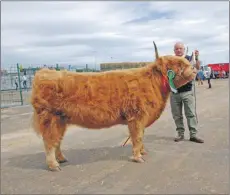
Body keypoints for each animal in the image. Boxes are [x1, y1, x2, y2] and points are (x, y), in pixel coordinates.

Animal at [30, 41, 196, 171]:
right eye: (179, 64)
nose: (194, 68)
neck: (153, 83)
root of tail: (44, 73)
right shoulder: (136, 117)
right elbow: (137, 137)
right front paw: (137, 156)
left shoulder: (141, 118)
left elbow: (141, 136)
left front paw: (142, 152)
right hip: (51, 119)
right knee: (50, 141)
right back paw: (53, 165)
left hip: (61, 120)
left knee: (57, 140)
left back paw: (61, 159)